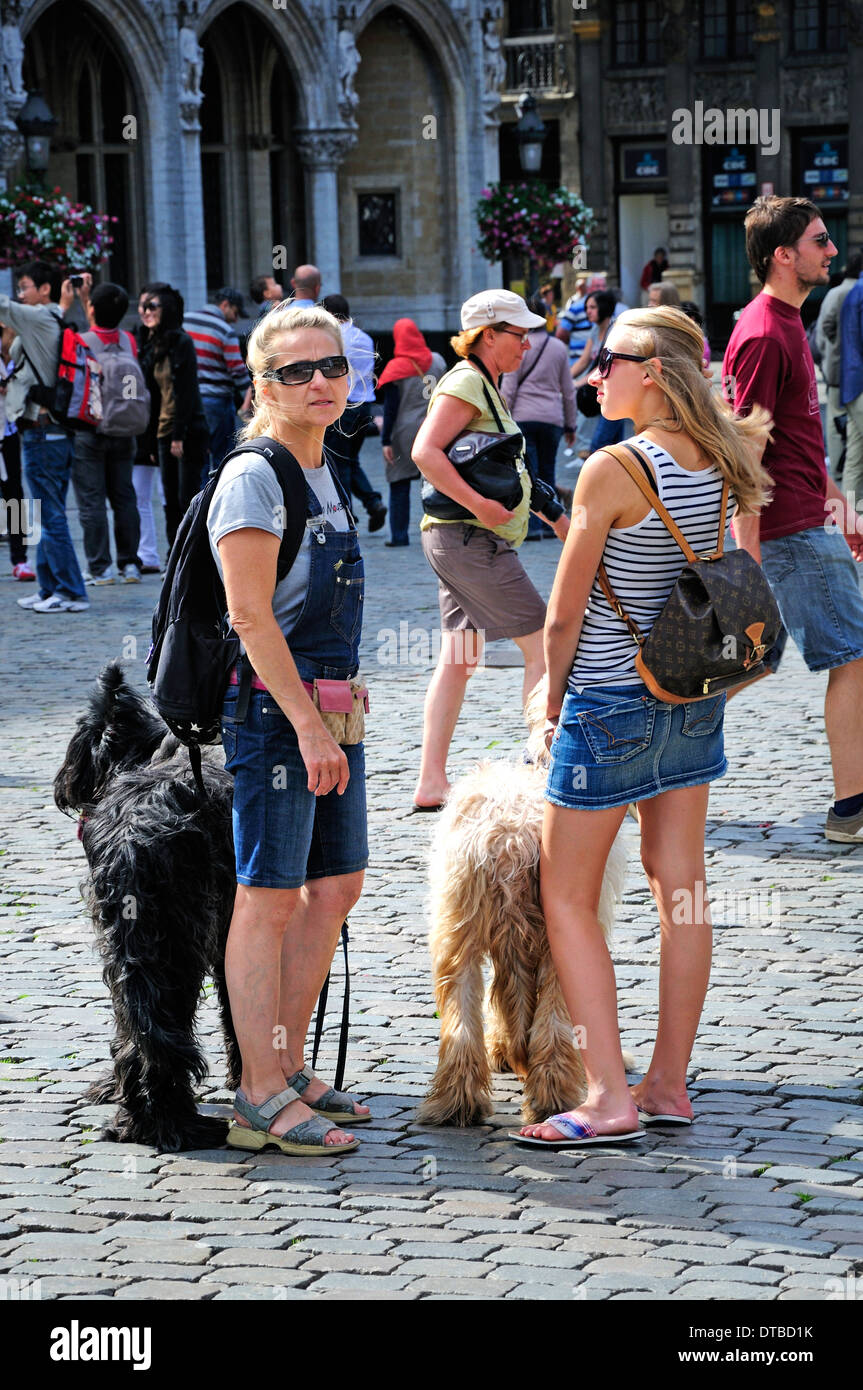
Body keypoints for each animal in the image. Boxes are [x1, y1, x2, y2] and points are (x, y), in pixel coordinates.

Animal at [55, 661, 237, 1150]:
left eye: (77, 741)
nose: (61, 788)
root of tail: (134, 837)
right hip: (174, 947)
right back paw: (169, 1121)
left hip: (142, 947)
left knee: (141, 1033)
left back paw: (142, 1118)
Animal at [416, 683, 625, 1128]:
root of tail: (511, 833)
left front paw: (507, 1052)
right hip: (559, 929)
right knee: (555, 1015)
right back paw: (552, 1096)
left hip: (459, 929)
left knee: (462, 1010)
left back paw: (459, 1102)